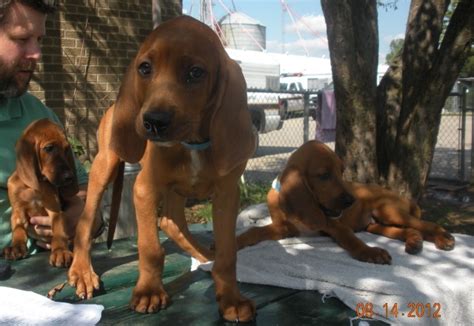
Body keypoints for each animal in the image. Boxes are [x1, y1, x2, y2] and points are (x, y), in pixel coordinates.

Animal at [3, 118, 78, 266]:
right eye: (49, 148)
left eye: (67, 149)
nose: (69, 177)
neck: (33, 186)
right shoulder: (18, 211)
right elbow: (18, 230)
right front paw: (16, 247)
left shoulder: (54, 209)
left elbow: (58, 231)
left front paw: (60, 251)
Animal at [67, 16, 256, 322]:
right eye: (145, 68)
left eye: (195, 72)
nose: (154, 121)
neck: (192, 144)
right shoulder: (144, 189)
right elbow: (150, 248)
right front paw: (148, 292)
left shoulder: (226, 194)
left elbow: (228, 252)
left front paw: (230, 298)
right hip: (104, 166)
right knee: (86, 220)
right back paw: (83, 272)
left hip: (177, 191)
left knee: (171, 221)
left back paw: (205, 257)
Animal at [237, 141, 456, 264]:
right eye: (324, 175)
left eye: (341, 172)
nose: (352, 201)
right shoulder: (285, 228)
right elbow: (255, 230)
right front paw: (236, 242)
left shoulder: (336, 225)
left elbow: (351, 239)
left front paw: (369, 252)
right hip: (376, 225)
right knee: (409, 230)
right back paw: (414, 242)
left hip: (388, 211)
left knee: (427, 224)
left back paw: (444, 239)